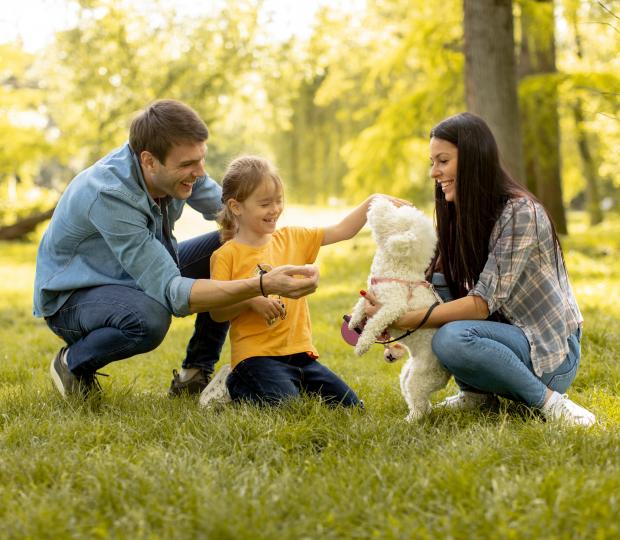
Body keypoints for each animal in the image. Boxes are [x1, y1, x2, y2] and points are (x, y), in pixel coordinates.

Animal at [348, 196, 450, 420]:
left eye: (393, 218)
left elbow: (374, 323)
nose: (378, 199)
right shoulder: (371, 293)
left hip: (421, 377)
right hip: (408, 373)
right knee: (420, 400)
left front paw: (361, 345)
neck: (399, 267)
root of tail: (448, 373)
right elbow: (360, 304)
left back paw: (411, 420)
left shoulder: (393, 307)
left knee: (420, 403)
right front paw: (353, 321)